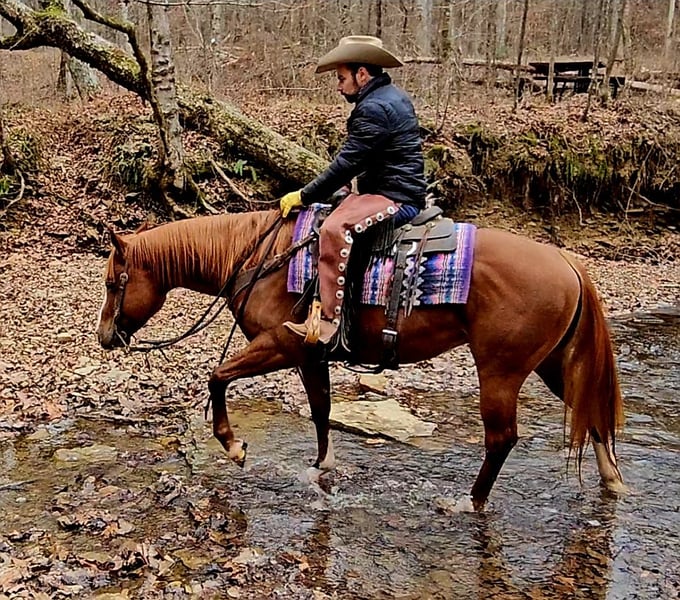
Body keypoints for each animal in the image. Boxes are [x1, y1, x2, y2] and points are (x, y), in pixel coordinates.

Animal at [96, 209, 625, 511]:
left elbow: (217, 376)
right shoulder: (311, 355)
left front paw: (233, 446)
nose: (104, 337)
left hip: (501, 370)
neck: (261, 257)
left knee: (502, 439)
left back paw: (469, 502)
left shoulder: (281, 344)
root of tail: (567, 261)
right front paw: (321, 467)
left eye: (113, 282)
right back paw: (612, 482)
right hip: (552, 362)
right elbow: (321, 410)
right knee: (590, 413)